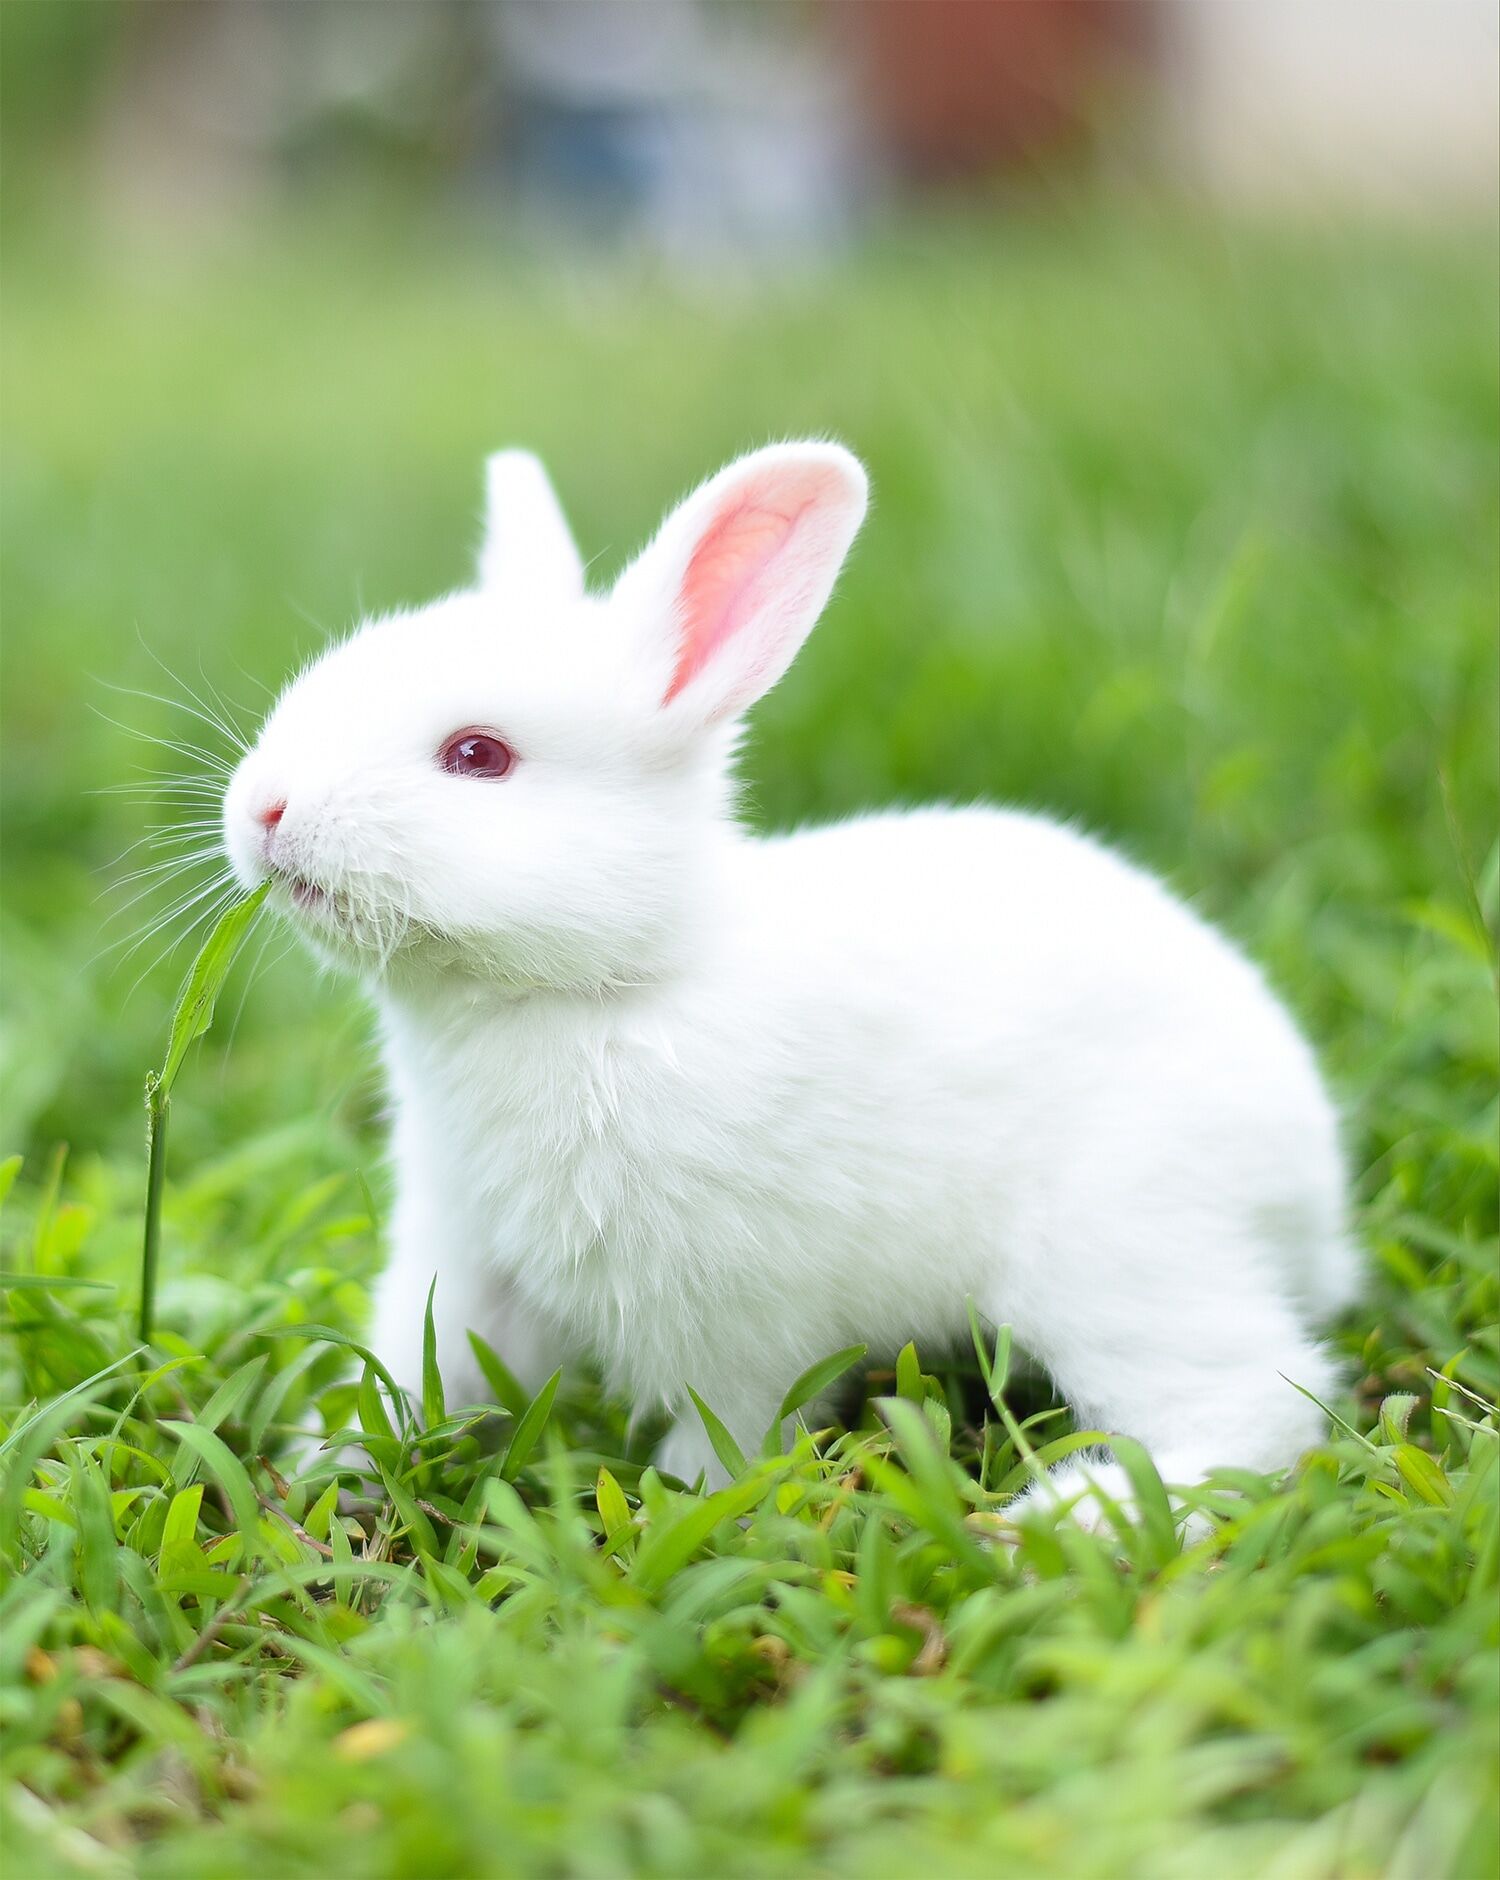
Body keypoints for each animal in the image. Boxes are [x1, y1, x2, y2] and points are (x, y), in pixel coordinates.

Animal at [223, 443, 1360, 1526]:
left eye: (477, 755)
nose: (265, 810)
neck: (607, 986)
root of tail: (1312, 1182)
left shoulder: (736, 1320)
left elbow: (728, 1432)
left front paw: (680, 1507)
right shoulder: (465, 1261)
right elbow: (416, 1378)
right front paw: (323, 1472)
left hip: (1115, 1251)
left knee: (1256, 1404)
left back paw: (1058, 1522)